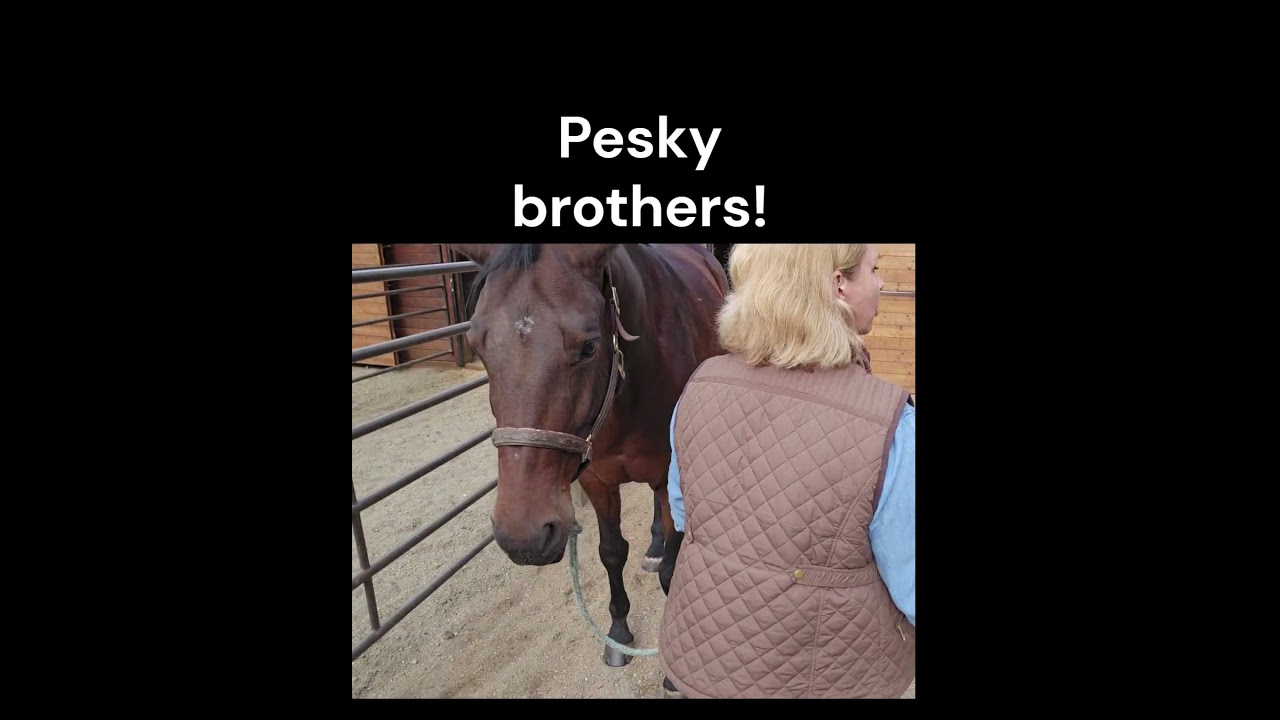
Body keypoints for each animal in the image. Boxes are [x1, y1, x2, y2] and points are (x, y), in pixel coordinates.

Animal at [447, 243, 727, 666]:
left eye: (589, 346)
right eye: (478, 345)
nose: (523, 537)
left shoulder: (670, 477)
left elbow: (672, 569)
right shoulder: (598, 481)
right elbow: (611, 552)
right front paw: (618, 631)